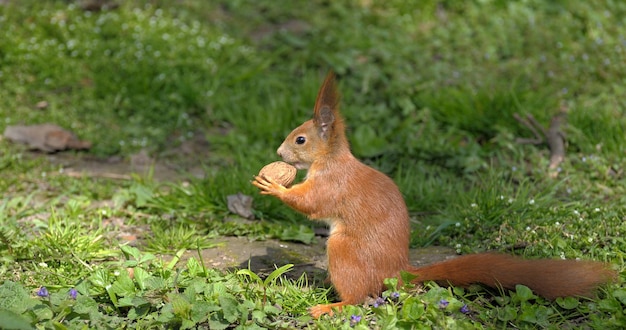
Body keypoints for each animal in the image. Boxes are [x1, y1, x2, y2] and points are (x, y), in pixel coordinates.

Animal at [250, 71, 616, 318]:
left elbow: (310, 203)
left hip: (343, 250)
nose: (279, 153)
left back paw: (331, 305)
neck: (330, 160)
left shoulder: (332, 185)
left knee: (357, 297)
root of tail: (397, 273)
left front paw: (273, 186)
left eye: (300, 139)